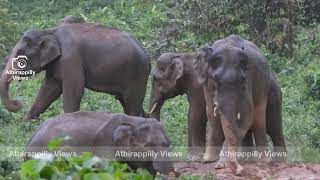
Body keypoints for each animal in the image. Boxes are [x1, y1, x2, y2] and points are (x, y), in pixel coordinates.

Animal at [0, 15, 150, 119]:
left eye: (20, 55)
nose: (17, 103)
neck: (50, 31)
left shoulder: (71, 59)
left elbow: (74, 91)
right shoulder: (57, 63)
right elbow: (48, 91)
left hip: (137, 75)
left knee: (132, 105)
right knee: (129, 103)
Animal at [194, 34, 286, 174]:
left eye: (242, 80)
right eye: (215, 80)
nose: (238, 169)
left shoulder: (249, 80)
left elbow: (247, 115)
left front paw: (222, 164)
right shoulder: (206, 87)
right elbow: (211, 114)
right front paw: (208, 160)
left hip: (273, 92)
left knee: (271, 126)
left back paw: (271, 161)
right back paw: (247, 159)